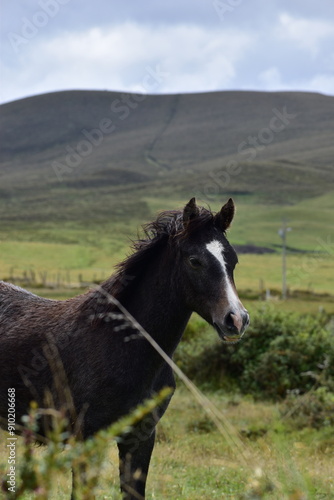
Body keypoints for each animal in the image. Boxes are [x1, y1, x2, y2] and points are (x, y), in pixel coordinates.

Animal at [0, 197, 249, 498]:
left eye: (233, 260)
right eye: (194, 261)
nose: (236, 320)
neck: (118, 344)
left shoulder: (140, 437)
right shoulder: (85, 438)